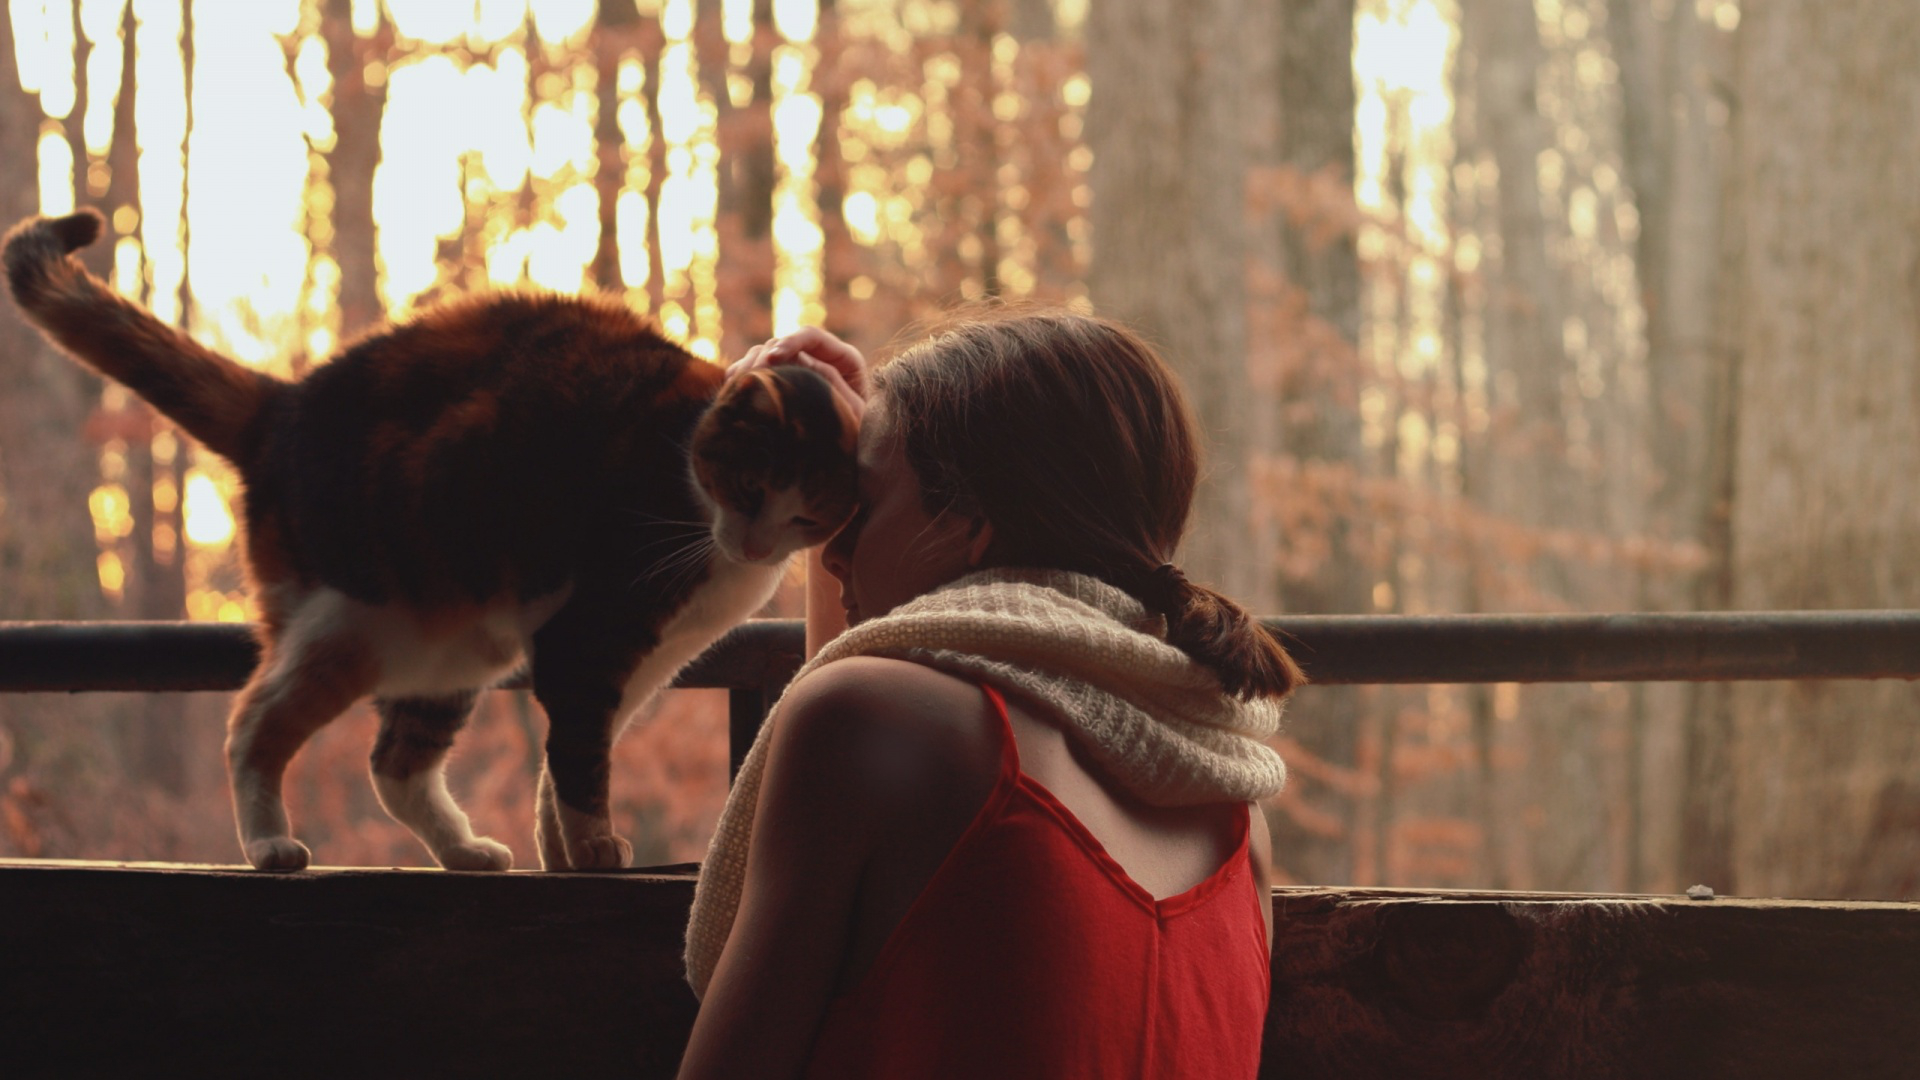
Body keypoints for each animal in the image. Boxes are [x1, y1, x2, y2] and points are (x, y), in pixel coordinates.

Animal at [0, 205, 856, 868]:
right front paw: (591, 849)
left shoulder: (643, 660)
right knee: (252, 721)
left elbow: (566, 762)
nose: (754, 546)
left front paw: (562, 853)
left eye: (805, 518)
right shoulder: (591, 637)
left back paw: (465, 850)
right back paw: (270, 845)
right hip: (361, 618)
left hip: (456, 644)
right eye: (751, 487)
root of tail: (283, 407)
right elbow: (580, 759)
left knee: (394, 765)